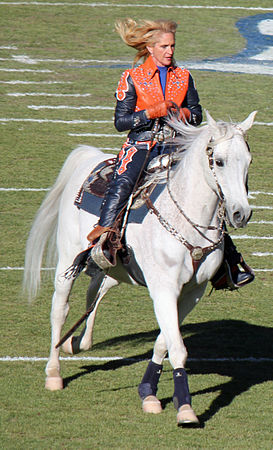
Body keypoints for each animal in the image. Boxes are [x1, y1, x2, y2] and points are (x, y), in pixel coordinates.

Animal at [22, 111, 255, 426]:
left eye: (248, 160)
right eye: (218, 161)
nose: (241, 213)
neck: (187, 221)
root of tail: (91, 157)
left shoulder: (191, 292)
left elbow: (163, 342)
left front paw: (148, 392)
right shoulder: (164, 290)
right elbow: (177, 348)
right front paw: (185, 409)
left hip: (109, 267)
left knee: (96, 290)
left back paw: (78, 342)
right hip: (67, 261)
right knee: (60, 309)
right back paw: (54, 371)